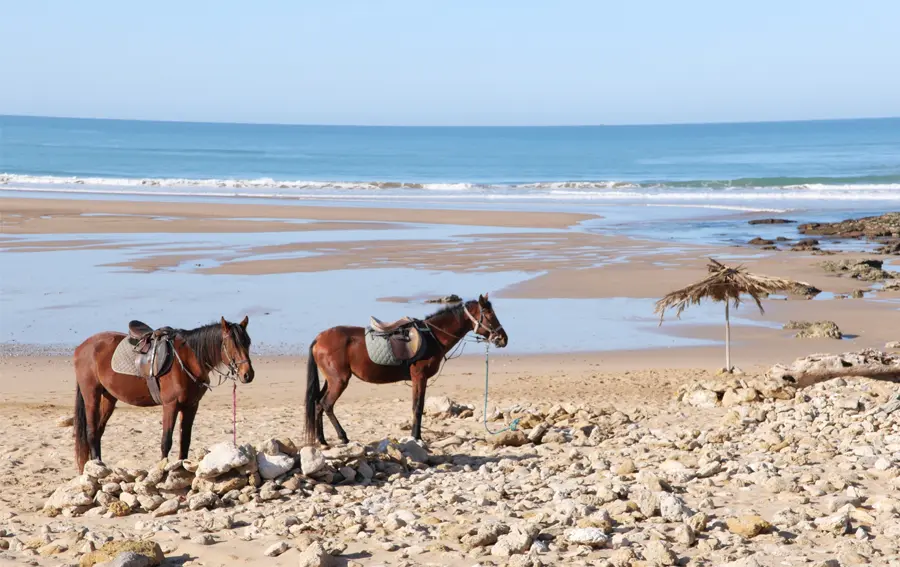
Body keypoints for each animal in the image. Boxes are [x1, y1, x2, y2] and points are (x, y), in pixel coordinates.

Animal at [69, 318, 253, 472]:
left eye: (248, 342)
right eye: (231, 344)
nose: (248, 374)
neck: (186, 361)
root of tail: (82, 347)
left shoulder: (191, 406)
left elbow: (185, 441)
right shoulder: (170, 405)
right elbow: (166, 442)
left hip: (108, 398)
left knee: (99, 431)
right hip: (91, 395)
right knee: (92, 432)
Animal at [304, 296, 506, 446]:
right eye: (489, 314)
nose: (503, 338)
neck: (431, 336)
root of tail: (319, 338)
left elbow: (417, 406)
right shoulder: (420, 377)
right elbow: (418, 407)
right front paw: (416, 437)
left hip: (331, 380)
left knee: (317, 403)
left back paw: (322, 440)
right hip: (339, 380)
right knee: (326, 404)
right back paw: (342, 437)